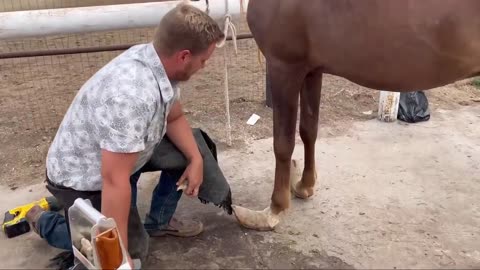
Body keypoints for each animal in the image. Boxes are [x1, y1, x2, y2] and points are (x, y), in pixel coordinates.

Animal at [232, 0, 480, 230]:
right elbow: (308, 131)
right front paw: (305, 185)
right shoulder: (311, 70)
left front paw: (274, 210)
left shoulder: (284, 67)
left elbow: (283, 144)